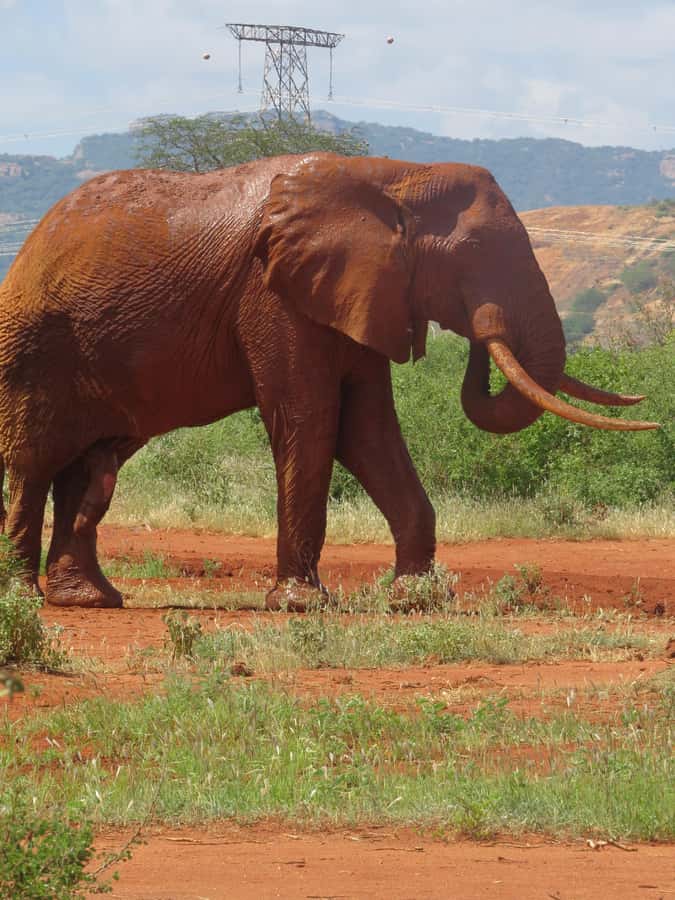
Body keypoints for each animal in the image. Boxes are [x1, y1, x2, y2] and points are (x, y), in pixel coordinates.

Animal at [0, 153, 657, 609]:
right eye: (472, 251)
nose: (479, 332)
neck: (393, 175)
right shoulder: (275, 297)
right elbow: (311, 421)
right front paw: (301, 605)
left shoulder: (359, 296)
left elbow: (368, 432)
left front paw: (415, 600)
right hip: (33, 349)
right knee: (33, 464)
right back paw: (25, 599)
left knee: (86, 465)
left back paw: (90, 599)